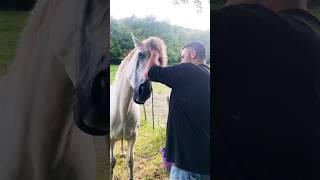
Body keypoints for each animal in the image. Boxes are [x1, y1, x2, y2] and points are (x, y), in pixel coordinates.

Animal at [110, 34, 168, 179]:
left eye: (158, 61)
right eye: (140, 54)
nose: (144, 91)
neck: (122, 111)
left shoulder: (133, 137)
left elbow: (131, 161)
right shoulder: (110, 139)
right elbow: (111, 162)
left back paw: (123, 152)